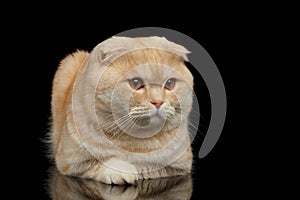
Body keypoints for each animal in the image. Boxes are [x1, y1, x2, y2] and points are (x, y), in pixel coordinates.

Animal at [47, 36, 195, 184]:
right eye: (135, 82)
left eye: (170, 83)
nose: (158, 102)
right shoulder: (70, 162)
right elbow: (102, 164)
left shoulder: (180, 165)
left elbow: (150, 166)